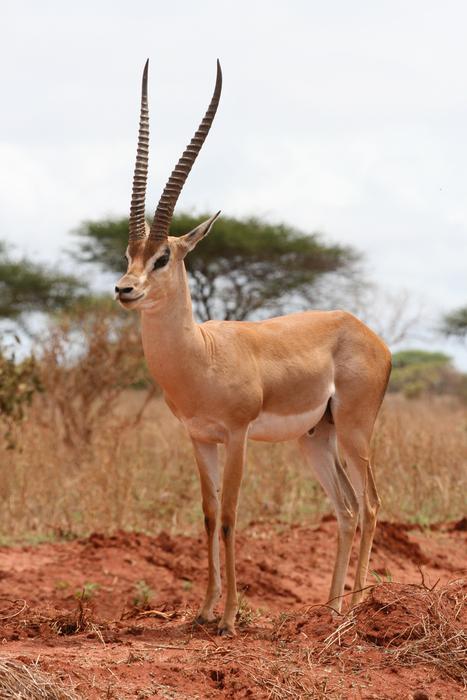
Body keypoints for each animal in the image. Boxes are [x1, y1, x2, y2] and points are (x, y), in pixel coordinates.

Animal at [115, 60, 392, 635]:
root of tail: (363, 330)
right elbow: (206, 515)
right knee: (347, 508)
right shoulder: (200, 438)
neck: (202, 356)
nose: (124, 289)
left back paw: (355, 610)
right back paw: (330, 609)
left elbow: (230, 516)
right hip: (316, 438)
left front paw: (228, 619)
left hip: (355, 431)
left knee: (372, 504)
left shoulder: (237, 436)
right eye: (129, 252)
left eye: (163, 257)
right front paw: (202, 611)